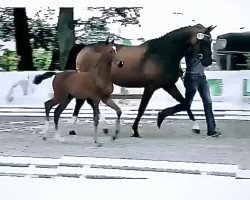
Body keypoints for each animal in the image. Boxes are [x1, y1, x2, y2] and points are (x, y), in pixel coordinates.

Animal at [65, 23, 216, 138]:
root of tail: (84, 47)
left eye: (210, 41)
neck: (163, 52)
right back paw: (77, 128)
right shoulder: (151, 86)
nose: (208, 61)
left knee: (86, 101)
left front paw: (194, 126)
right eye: (204, 41)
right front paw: (136, 130)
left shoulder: (168, 85)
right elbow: (142, 108)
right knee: (82, 102)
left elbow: (185, 103)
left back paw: (98, 127)